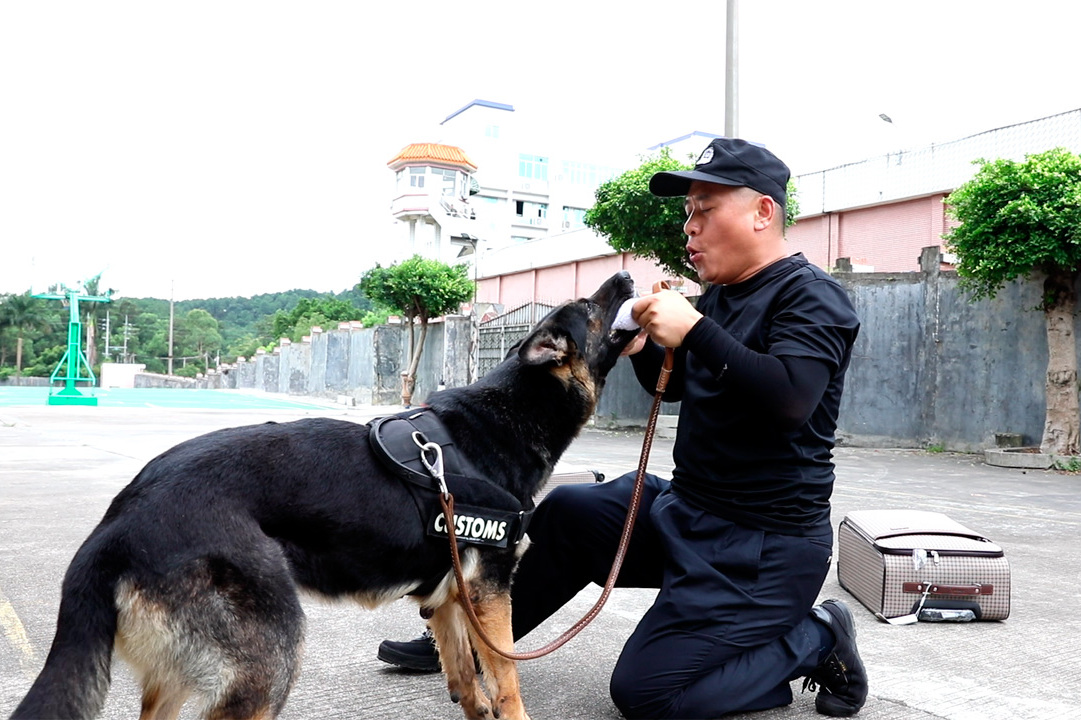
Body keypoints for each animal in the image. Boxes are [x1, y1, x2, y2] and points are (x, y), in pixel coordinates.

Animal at [12, 270, 639, 717]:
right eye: (589, 307)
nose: (628, 276)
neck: (506, 417)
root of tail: (119, 520)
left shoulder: (447, 600)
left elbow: (469, 685)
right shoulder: (488, 594)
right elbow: (506, 682)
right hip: (269, 662)